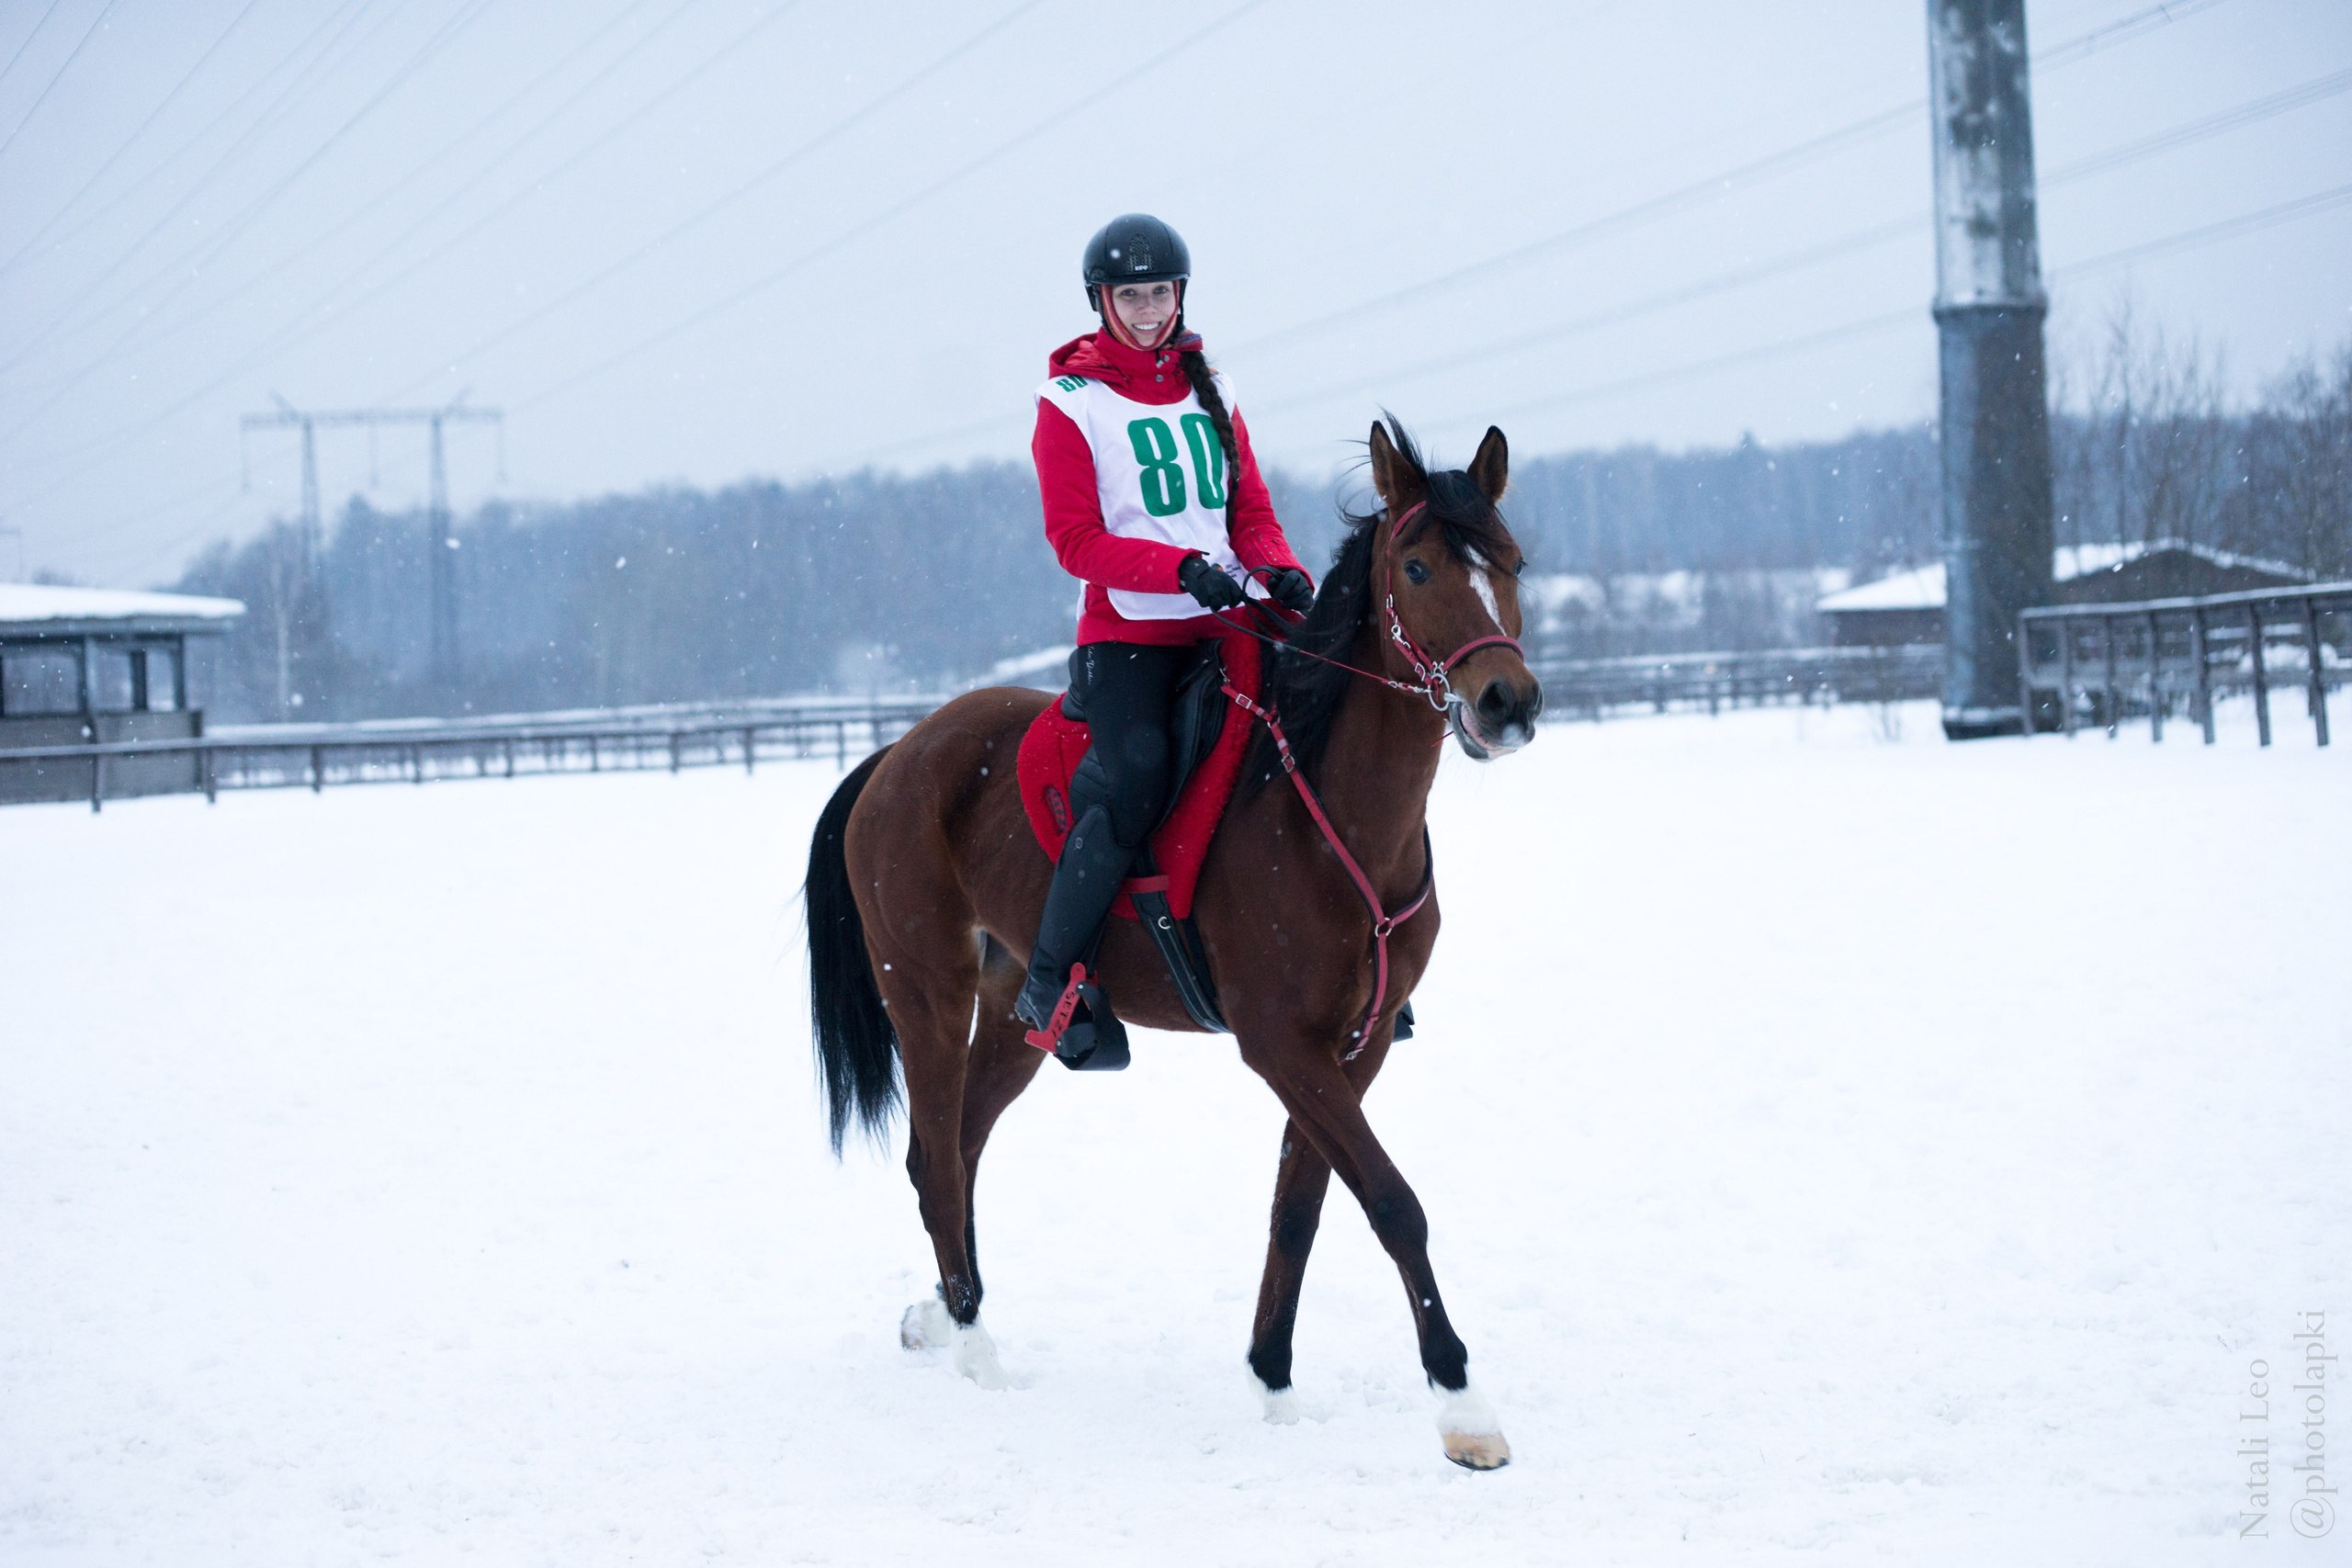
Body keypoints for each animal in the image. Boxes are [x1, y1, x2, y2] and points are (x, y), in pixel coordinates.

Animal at [803, 418, 1544, 1469]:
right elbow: (1394, 1204)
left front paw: (1271, 1382)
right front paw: (1463, 1408)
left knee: (955, 1145)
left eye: (1512, 562)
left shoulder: (1349, 1050)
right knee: (938, 1163)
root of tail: (894, 755)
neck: (1324, 811)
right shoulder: (1281, 1045)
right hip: (927, 997)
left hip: (1018, 1012)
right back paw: (979, 1353)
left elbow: (1300, 1210)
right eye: (1417, 566)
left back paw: (944, 1312)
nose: (1507, 702)